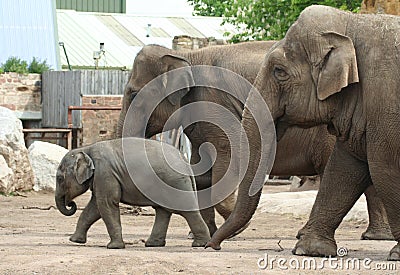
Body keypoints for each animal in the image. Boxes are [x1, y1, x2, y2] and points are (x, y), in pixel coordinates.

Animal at [55, 138, 211, 250]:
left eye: (60, 178)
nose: (71, 204)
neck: (86, 148)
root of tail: (184, 159)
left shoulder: (105, 173)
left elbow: (106, 203)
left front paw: (114, 247)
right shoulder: (102, 177)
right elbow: (94, 207)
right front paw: (75, 240)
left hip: (175, 182)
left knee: (185, 210)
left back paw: (200, 244)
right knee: (163, 211)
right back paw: (153, 244)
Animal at [118, 41, 390, 242]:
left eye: (134, 93)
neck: (186, 56)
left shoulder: (215, 104)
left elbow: (226, 161)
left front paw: (236, 230)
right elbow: (202, 171)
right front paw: (203, 236)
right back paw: (375, 236)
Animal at [208, 5, 400, 262]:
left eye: (279, 71)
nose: (213, 246)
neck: (352, 23)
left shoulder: (385, 102)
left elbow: (383, 168)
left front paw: (397, 254)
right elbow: (344, 167)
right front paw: (310, 250)